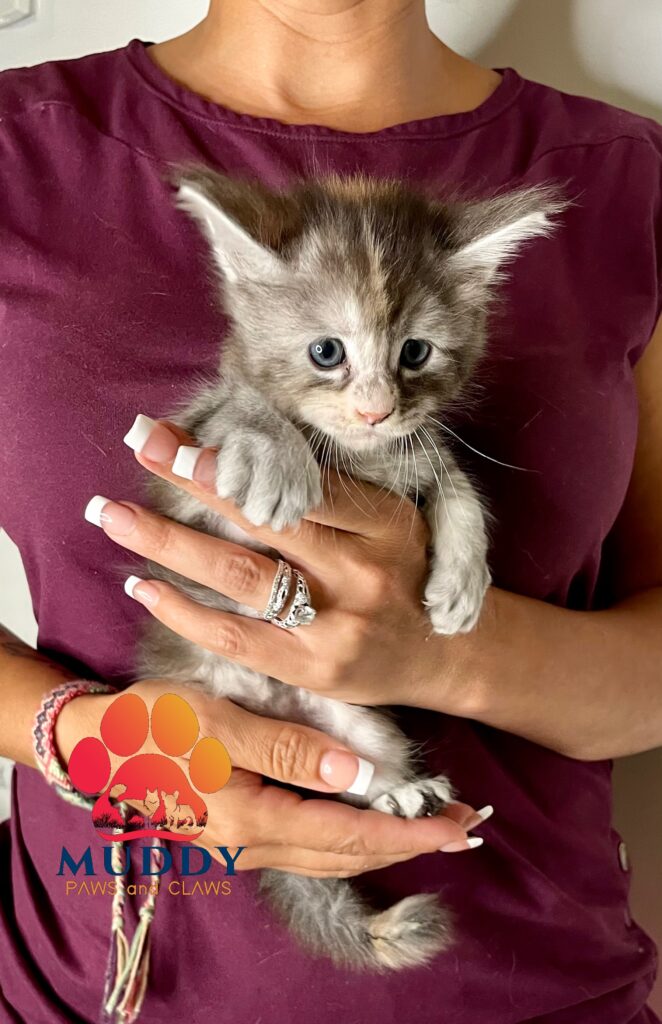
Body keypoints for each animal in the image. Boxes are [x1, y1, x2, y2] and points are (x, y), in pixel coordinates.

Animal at [137, 172, 561, 970]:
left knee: (357, 776)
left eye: (416, 352)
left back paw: (399, 793)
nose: (375, 411)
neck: (358, 459)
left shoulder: (414, 450)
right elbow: (240, 410)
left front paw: (464, 577)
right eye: (327, 351)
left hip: (355, 722)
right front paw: (273, 450)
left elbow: (453, 476)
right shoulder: (187, 472)